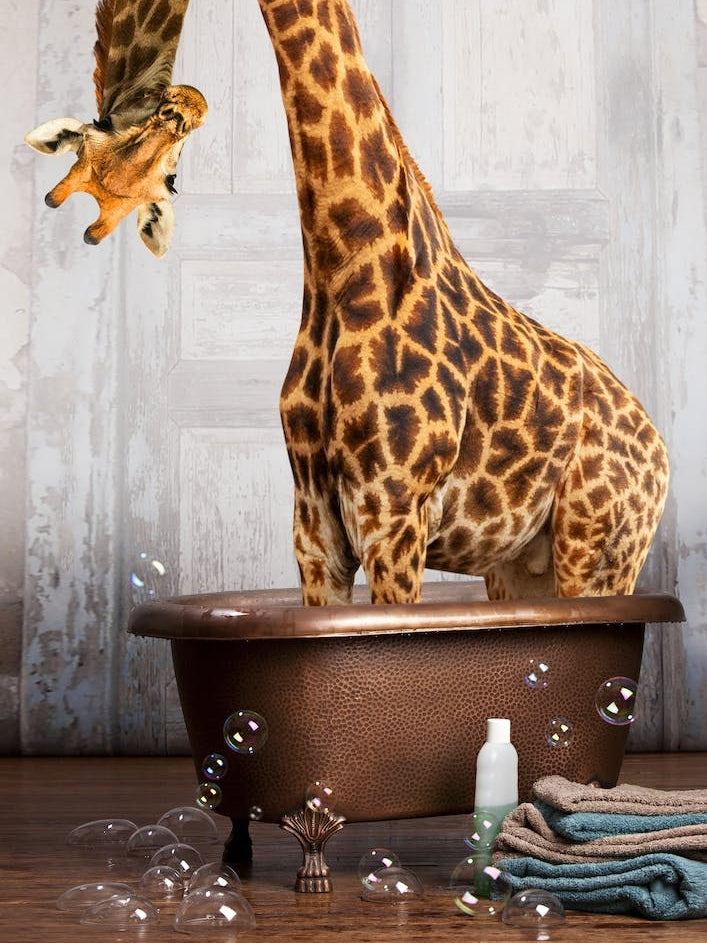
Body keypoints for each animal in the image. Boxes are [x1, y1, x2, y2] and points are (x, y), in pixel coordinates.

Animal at [259, 0, 669, 605]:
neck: (345, 263)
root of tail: (662, 450)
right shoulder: (315, 528)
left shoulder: (393, 513)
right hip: (520, 568)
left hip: (598, 553)